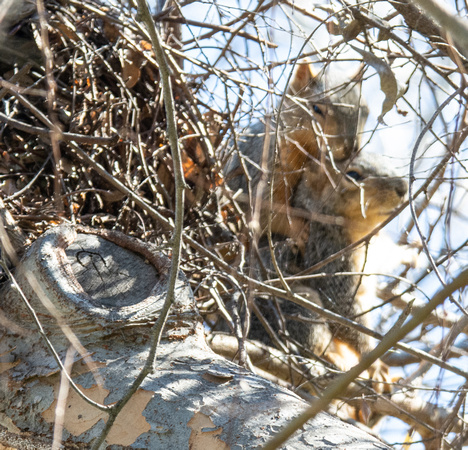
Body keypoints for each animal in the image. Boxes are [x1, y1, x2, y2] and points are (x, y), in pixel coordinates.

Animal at [227, 61, 370, 248]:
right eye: (316, 108)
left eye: (365, 111)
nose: (350, 148)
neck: (310, 150)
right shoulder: (267, 164)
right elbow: (266, 210)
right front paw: (299, 231)